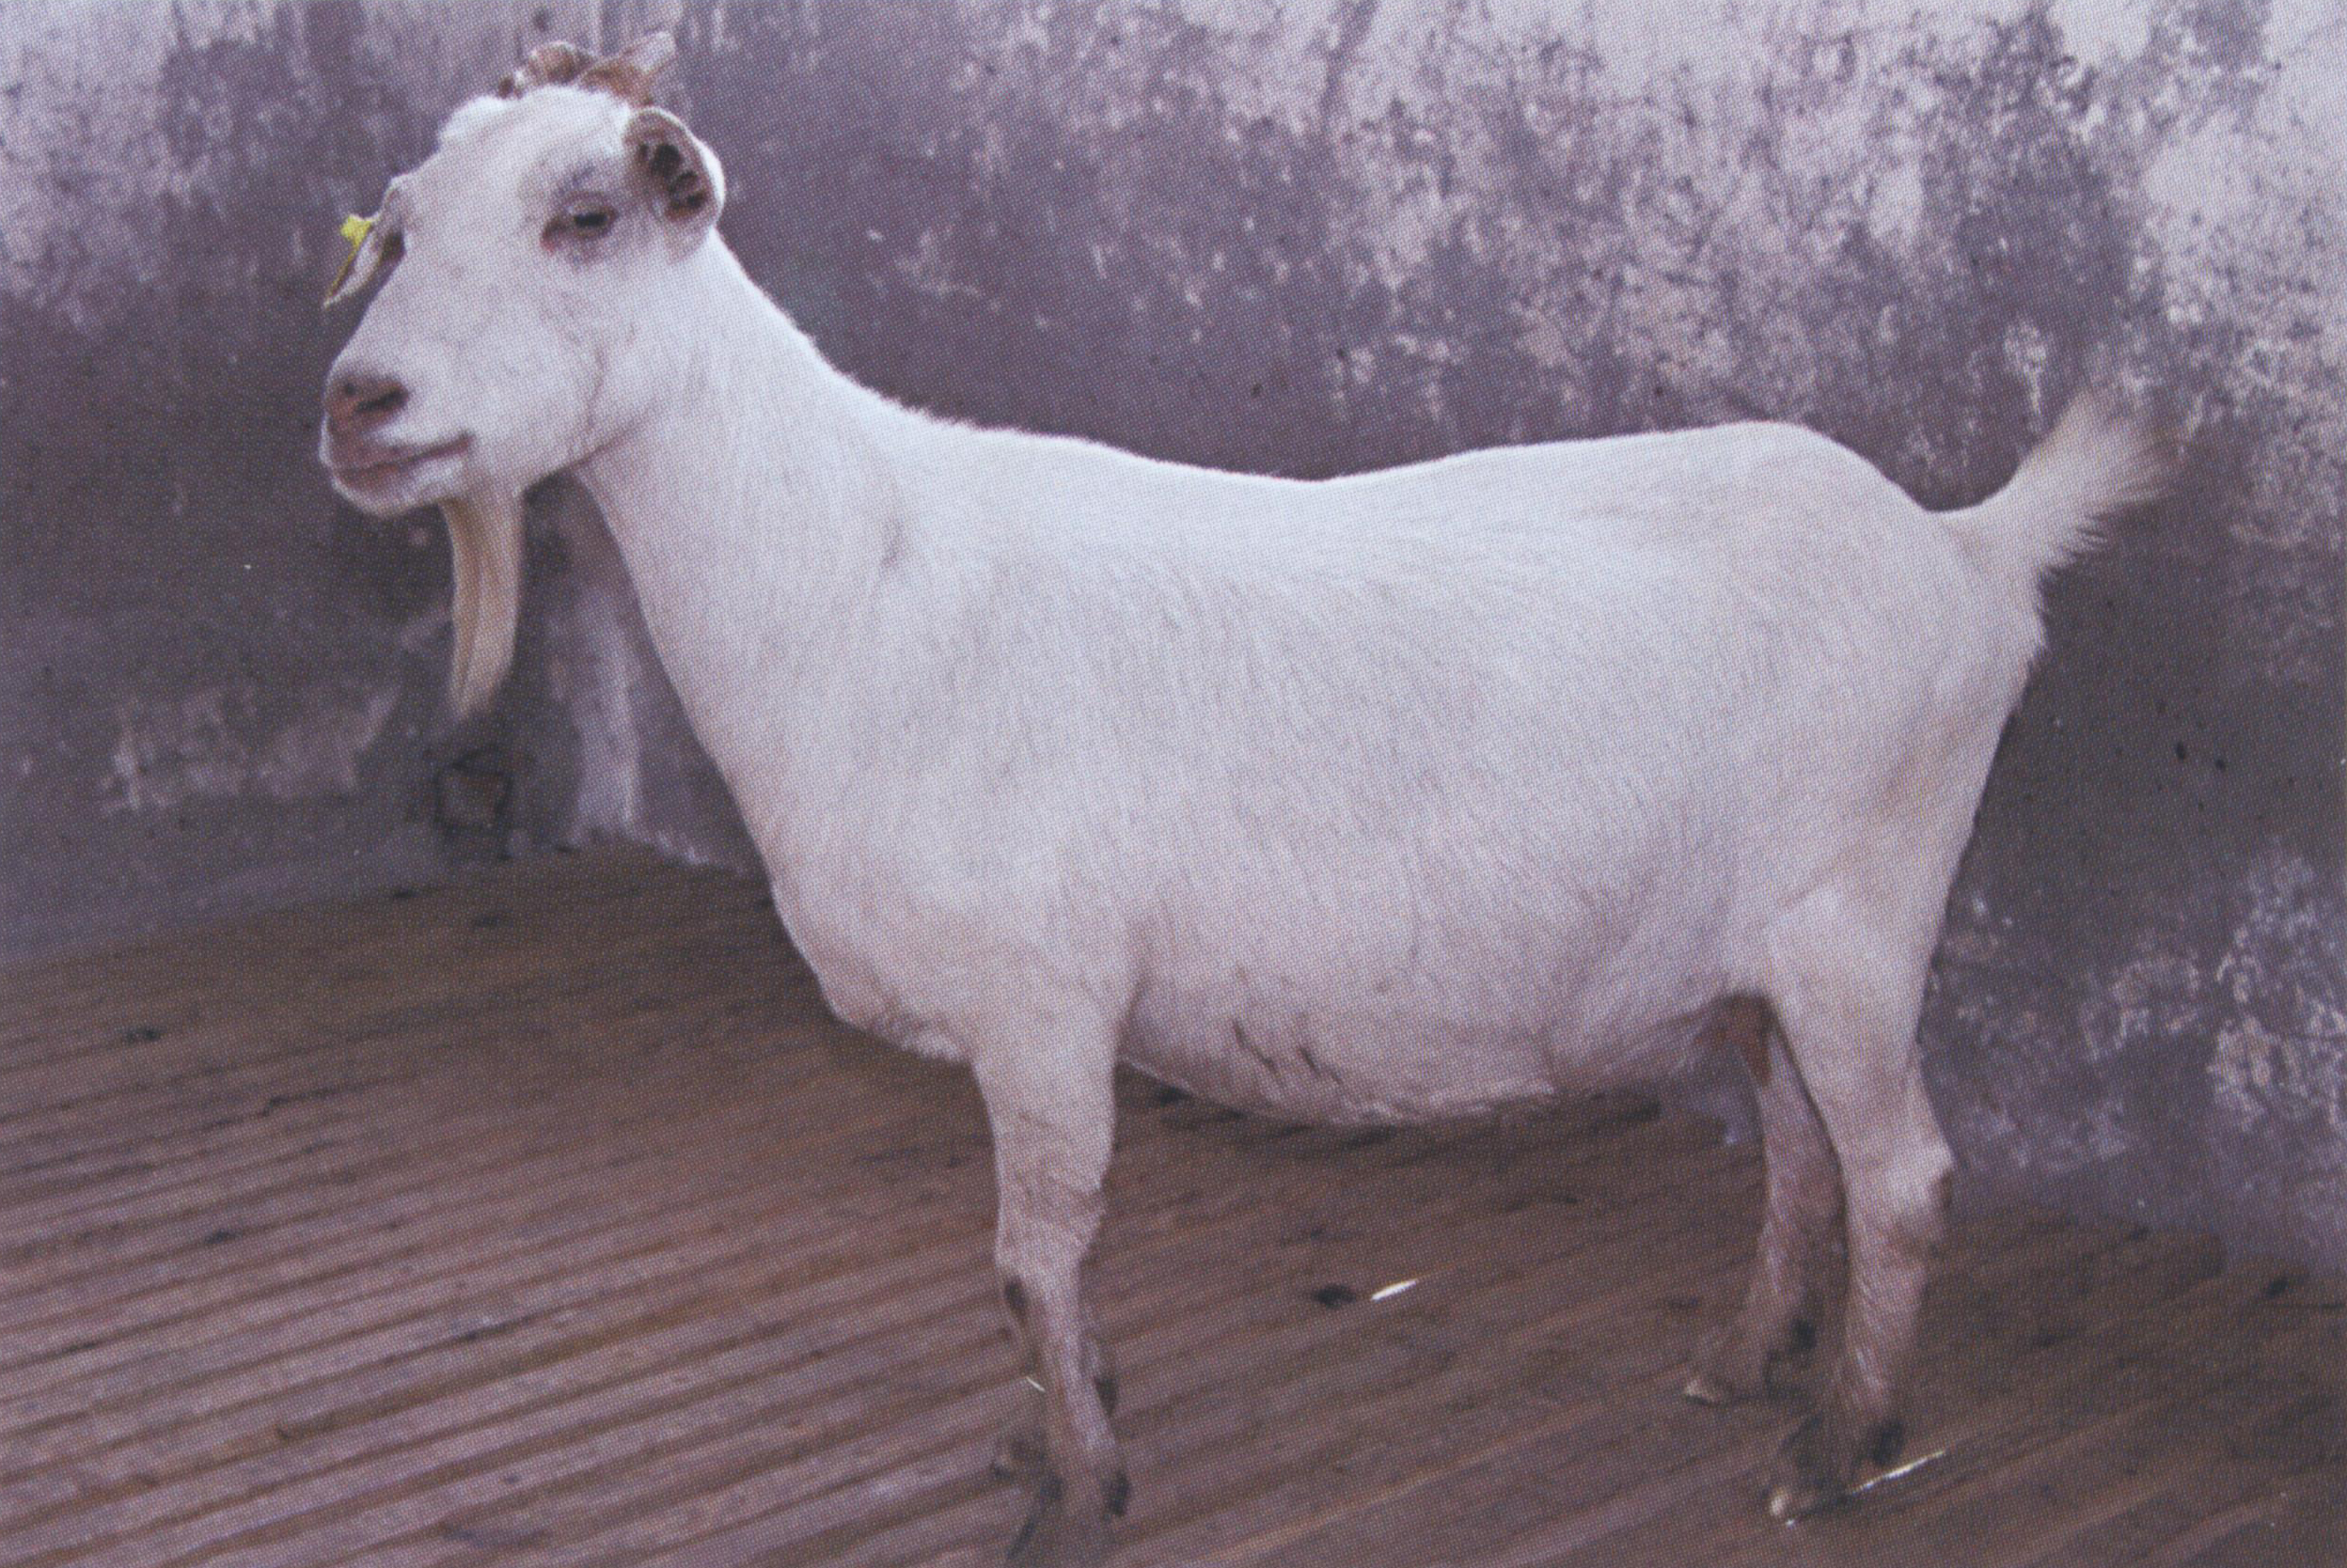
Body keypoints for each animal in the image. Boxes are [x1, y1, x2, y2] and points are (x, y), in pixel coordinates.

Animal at [318, 33, 2174, 1566]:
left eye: (583, 216)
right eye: (395, 223)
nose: (357, 405)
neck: (862, 579)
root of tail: (1967, 547)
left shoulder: (1046, 1003)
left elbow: (1032, 1261)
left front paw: (1076, 1497)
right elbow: (1039, 1279)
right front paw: (1048, 1447)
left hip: (1863, 914)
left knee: (1906, 1175)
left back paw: (1842, 1444)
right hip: (1762, 949)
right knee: (1799, 1148)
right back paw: (1743, 1360)